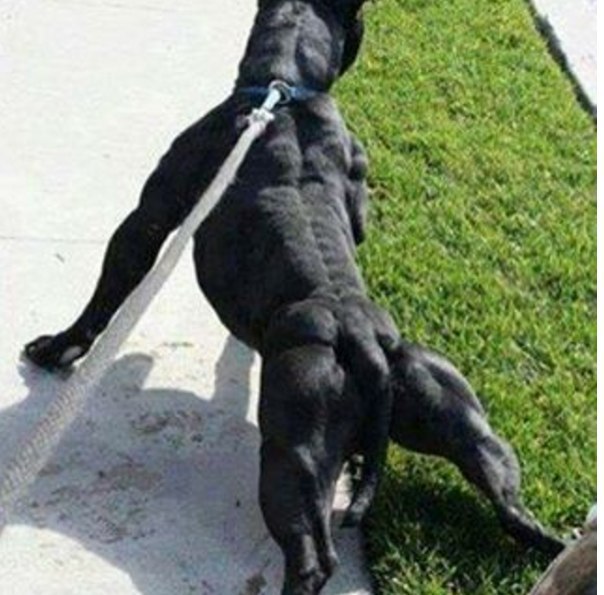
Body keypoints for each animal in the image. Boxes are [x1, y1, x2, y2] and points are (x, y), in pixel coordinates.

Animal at [24, 0, 565, 592]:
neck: (285, 88)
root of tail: (365, 344)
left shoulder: (149, 218)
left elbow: (109, 291)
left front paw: (59, 347)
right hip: (455, 414)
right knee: (509, 500)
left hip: (295, 449)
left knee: (313, 554)